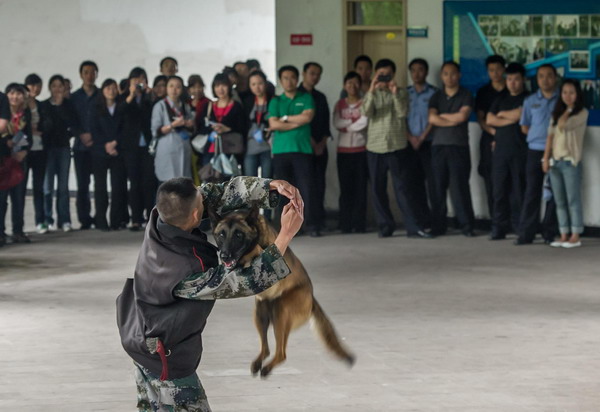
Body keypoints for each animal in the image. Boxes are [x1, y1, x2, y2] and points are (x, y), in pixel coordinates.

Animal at [209, 206, 354, 376]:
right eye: (221, 235)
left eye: (239, 235)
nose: (225, 255)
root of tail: (311, 298)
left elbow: (259, 251)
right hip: (260, 313)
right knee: (266, 349)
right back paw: (259, 363)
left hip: (281, 311)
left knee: (281, 353)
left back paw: (267, 367)